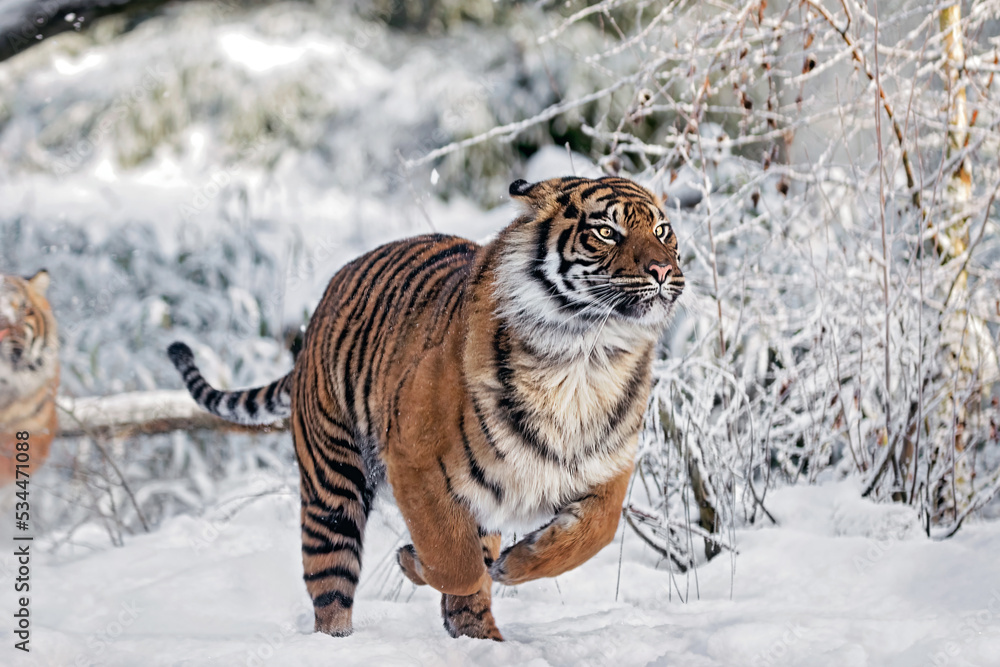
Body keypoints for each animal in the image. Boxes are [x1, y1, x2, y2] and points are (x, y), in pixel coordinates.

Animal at [167, 175, 684, 640]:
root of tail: (318, 312)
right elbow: (453, 560)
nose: (662, 271)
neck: (586, 357)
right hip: (332, 486)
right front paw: (414, 561)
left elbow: (596, 532)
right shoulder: (414, 461)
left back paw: (483, 639)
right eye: (607, 232)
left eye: (662, 231)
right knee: (330, 583)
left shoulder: (607, 466)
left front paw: (515, 565)